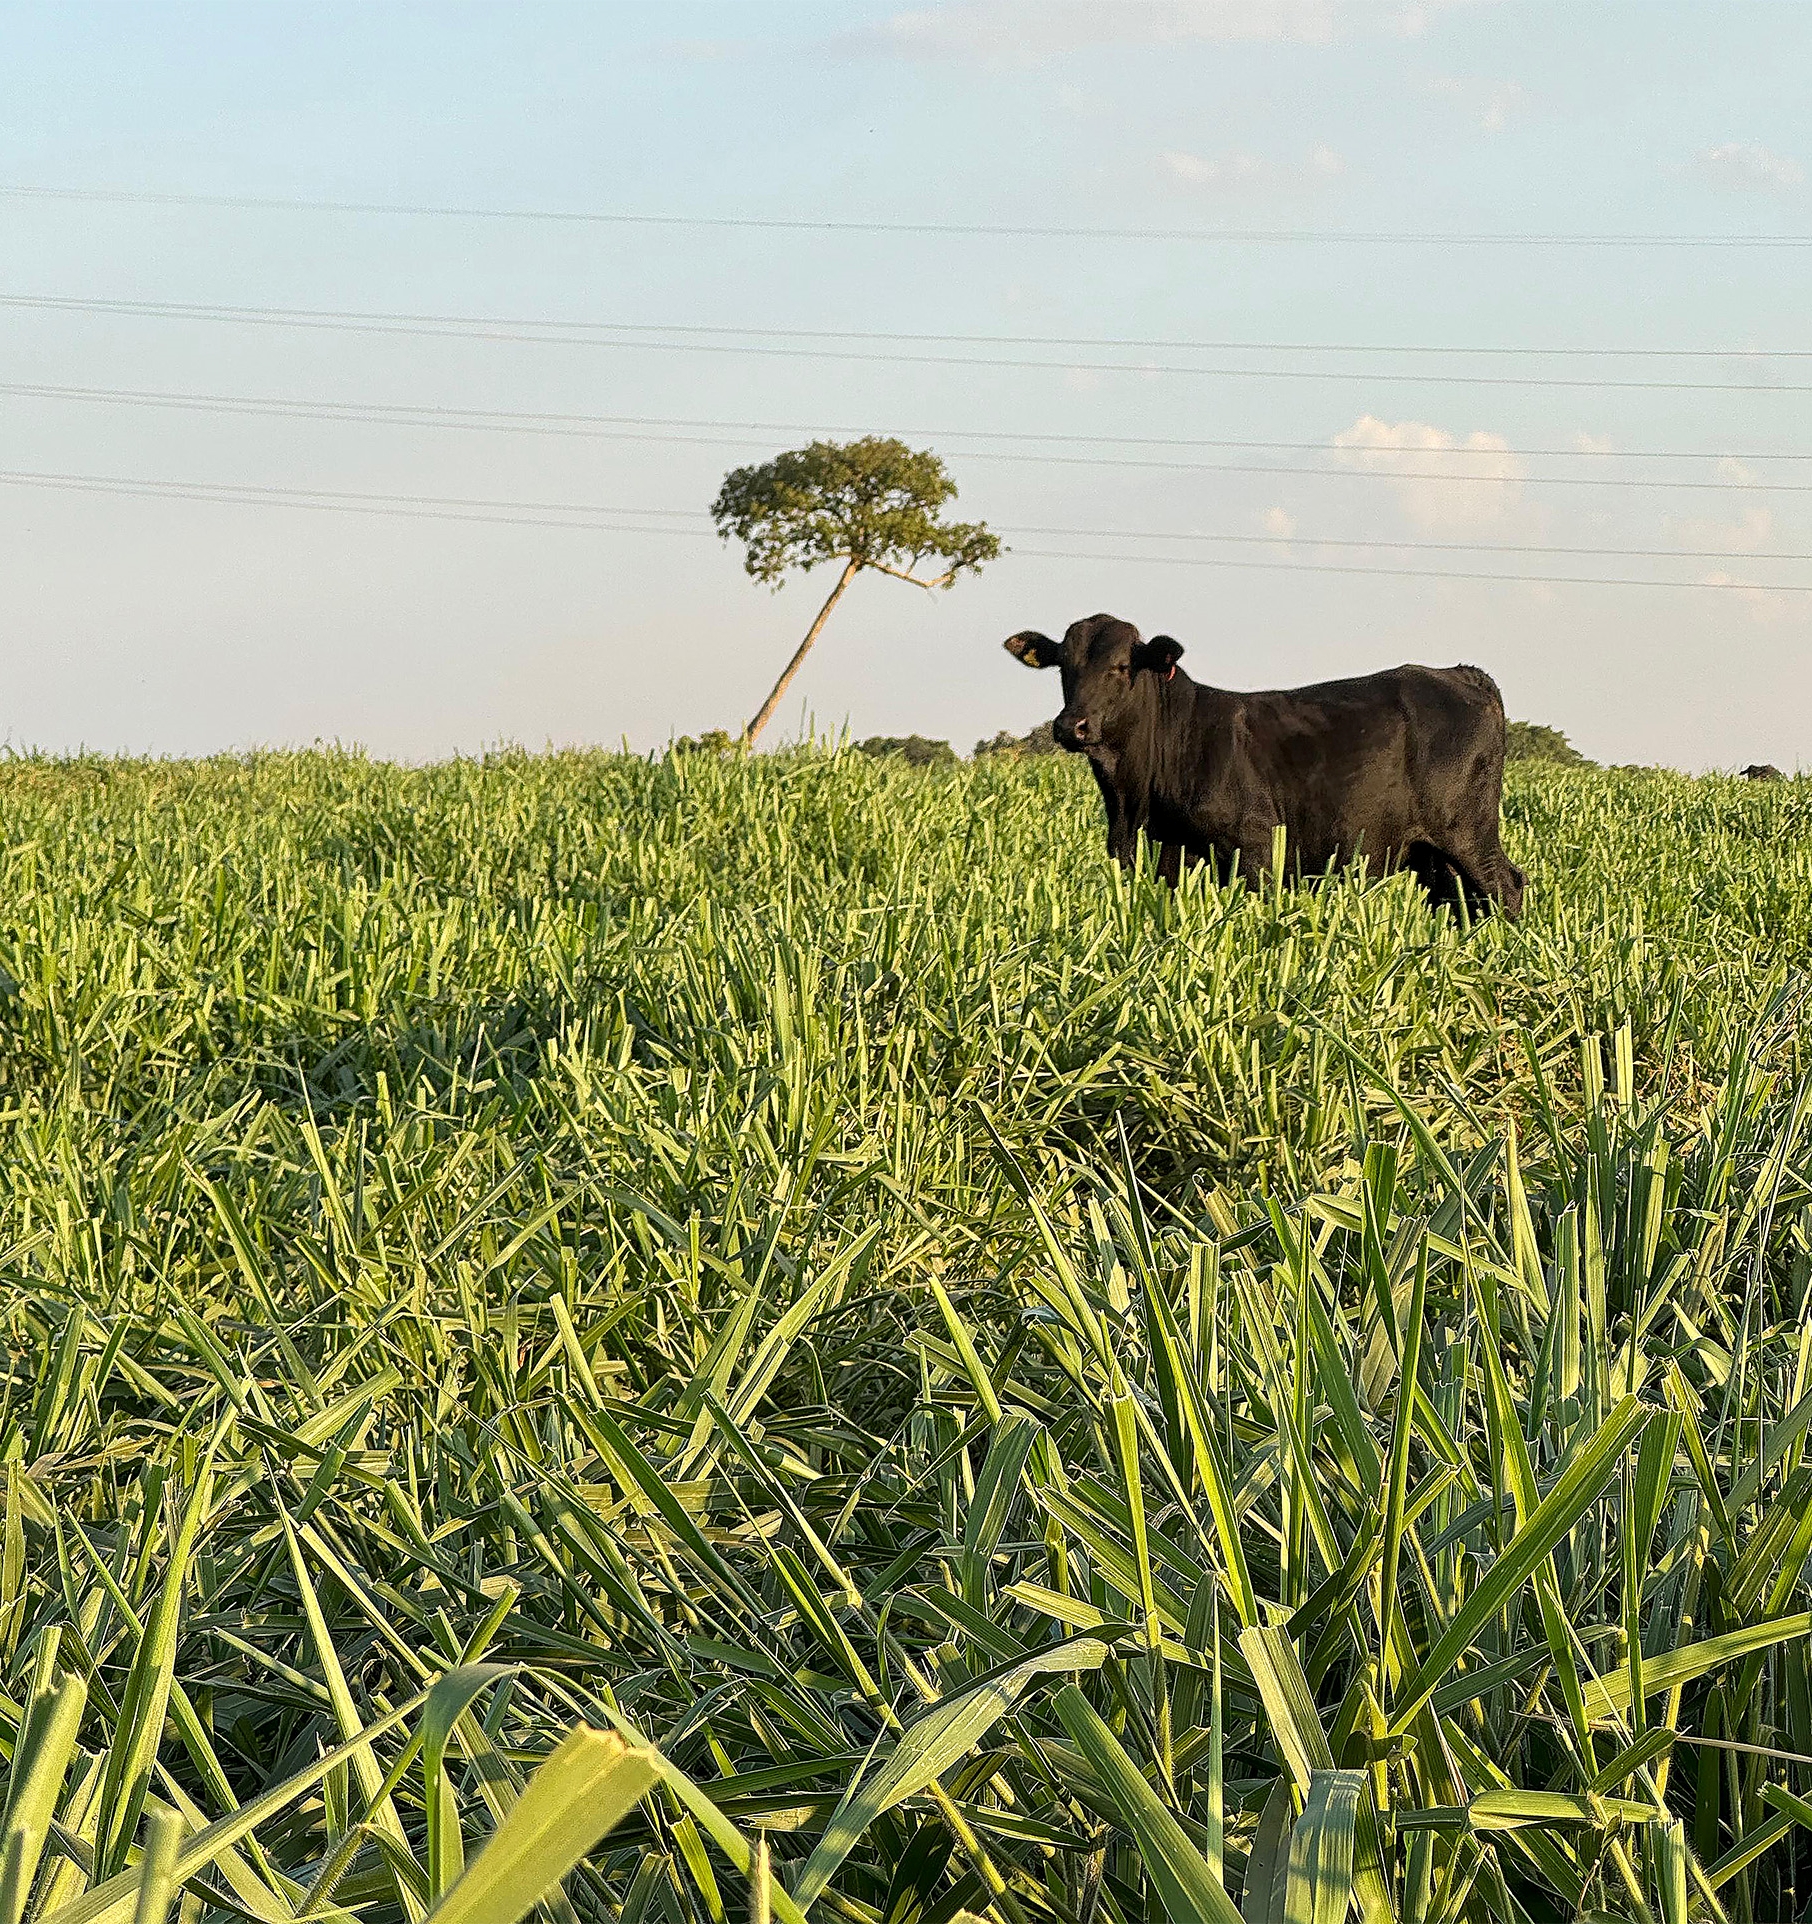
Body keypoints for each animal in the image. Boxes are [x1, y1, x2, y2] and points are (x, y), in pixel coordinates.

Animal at [1007, 611, 1531, 919]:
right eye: (1063, 666)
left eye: (1120, 667)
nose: (1071, 725)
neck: (1134, 801)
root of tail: (1459, 673)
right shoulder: (1164, 860)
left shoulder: (1256, 847)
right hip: (1432, 852)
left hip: (1467, 830)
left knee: (1505, 885)